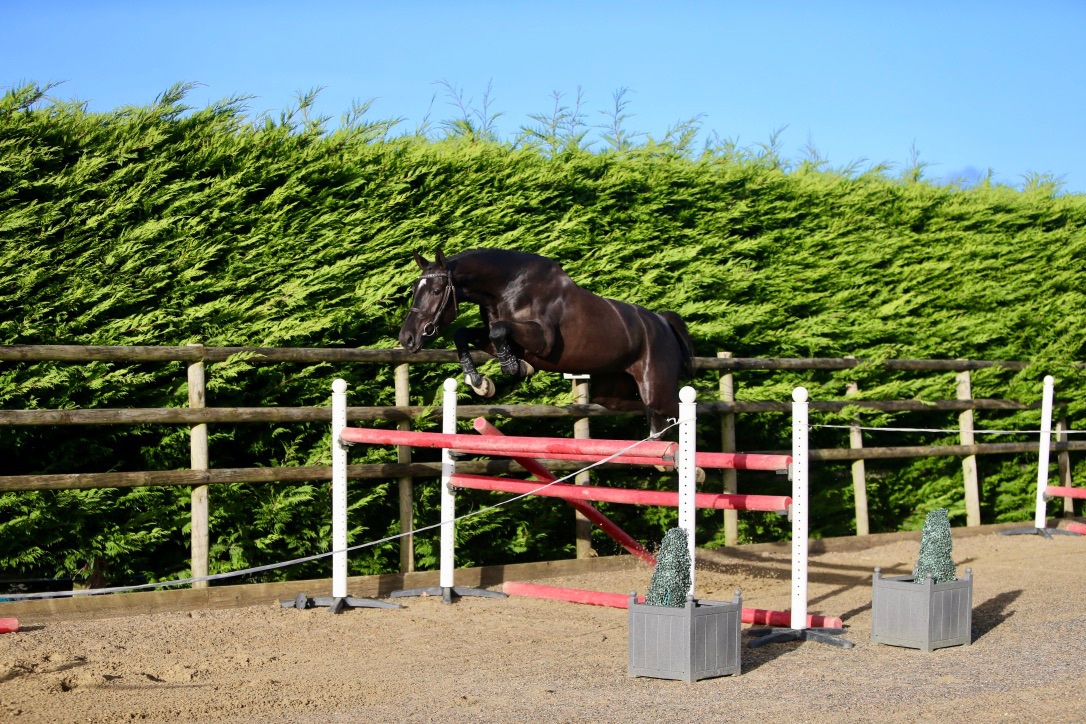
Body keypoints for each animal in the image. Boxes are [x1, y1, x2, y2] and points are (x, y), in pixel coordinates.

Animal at [397, 247, 695, 437]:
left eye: (437, 290)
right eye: (414, 290)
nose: (407, 338)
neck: (508, 287)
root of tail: (663, 321)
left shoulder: (544, 342)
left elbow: (498, 332)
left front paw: (513, 368)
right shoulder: (503, 337)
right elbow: (466, 334)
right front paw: (480, 382)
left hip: (655, 386)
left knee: (675, 410)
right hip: (613, 392)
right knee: (644, 410)